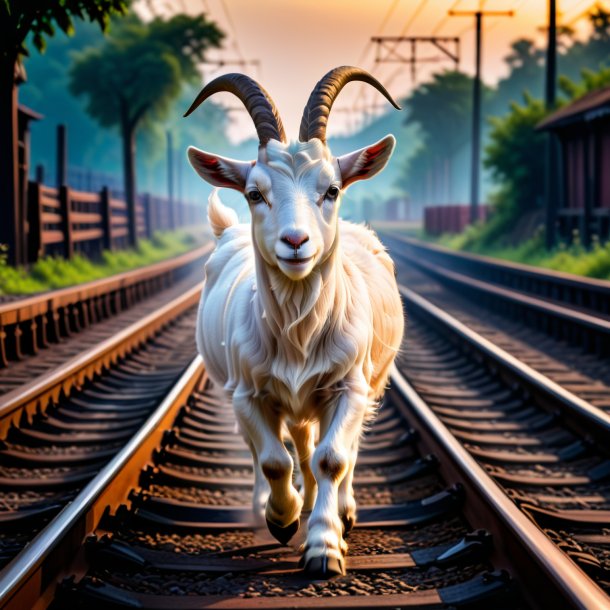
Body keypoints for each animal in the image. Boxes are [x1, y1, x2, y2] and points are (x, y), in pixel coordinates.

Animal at [184, 66, 404, 576]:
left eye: (332, 189)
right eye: (254, 193)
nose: (296, 242)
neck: (299, 334)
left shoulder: (349, 387)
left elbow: (332, 458)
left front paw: (325, 545)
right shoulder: (247, 393)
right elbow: (273, 461)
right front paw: (282, 519)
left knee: (328, 448)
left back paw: (341, 510)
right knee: (283, 447)